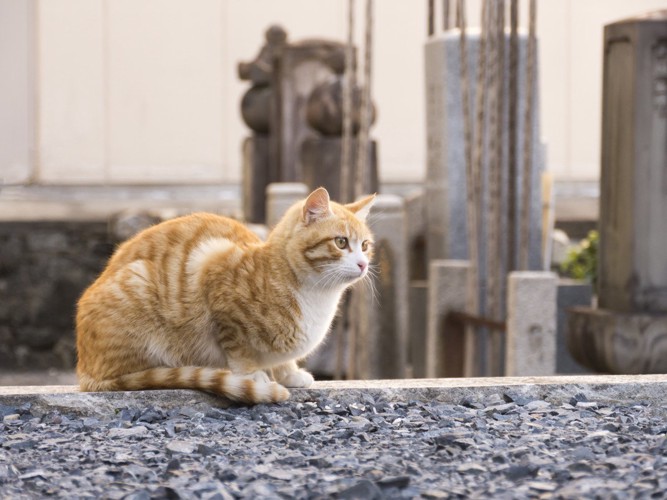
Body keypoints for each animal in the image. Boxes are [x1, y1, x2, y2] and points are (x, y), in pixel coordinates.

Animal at [75, 186, 376, 404]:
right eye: (341, 242)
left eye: (365, 245)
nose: (363, 264)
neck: (317, 297)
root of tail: (84, 370)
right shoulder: (214, 269)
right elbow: (237, 347)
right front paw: (252, 374)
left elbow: (285, 361)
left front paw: (289, 373)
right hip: (139, 284)